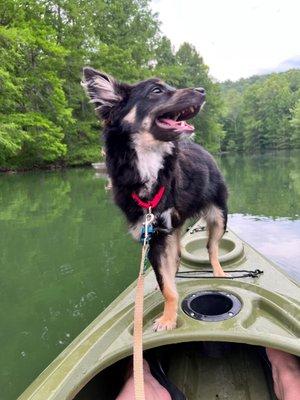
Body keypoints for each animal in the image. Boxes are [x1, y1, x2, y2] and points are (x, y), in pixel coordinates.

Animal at [82, 68, 227, 332]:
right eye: (156, 90)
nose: (202, 90)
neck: (148, 162)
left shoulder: (160, 233)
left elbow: (168, 283)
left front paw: (167, 319)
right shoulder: (154, 235)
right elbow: (165, 284)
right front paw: (169, 316)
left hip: (219, 216)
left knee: (212, 248)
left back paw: (219, 272)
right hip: (176, 230)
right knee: (179, 255)